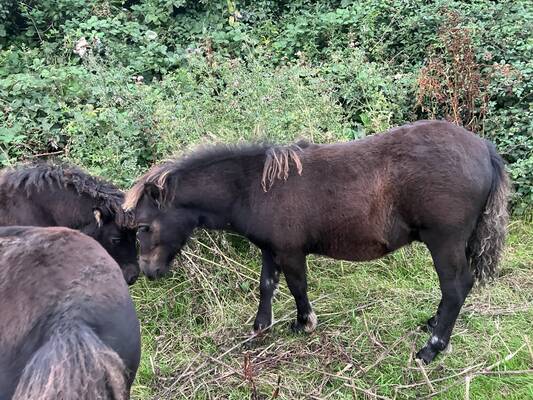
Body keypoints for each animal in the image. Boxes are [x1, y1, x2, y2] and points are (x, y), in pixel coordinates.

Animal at [123, 120, 508, 364]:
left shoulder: (291, 251)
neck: (256, 188)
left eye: (143, 226)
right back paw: (432, 324)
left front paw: (303, 323)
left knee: (456, 287)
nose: (146, 272)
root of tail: (484, 149)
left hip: (443, 240)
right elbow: (267, 285)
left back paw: (432, 348)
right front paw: (261, 326)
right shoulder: (270, 249)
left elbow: (297, 286)